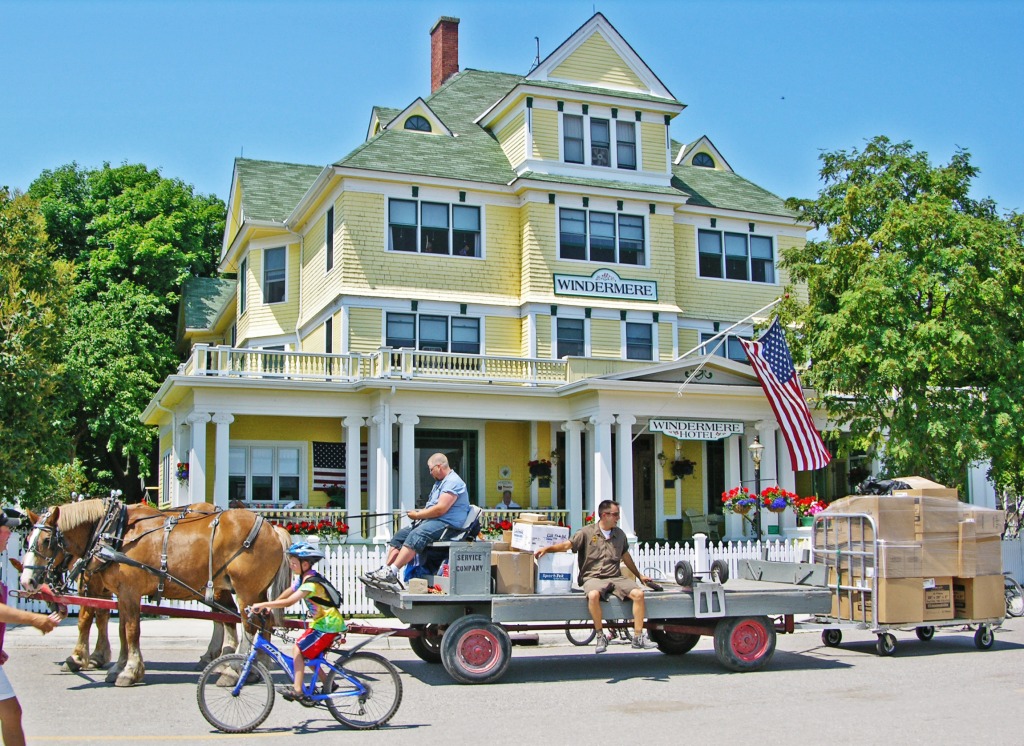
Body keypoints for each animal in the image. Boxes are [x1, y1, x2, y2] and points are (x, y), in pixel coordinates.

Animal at [24, 501, 288, 687]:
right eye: (27, 539)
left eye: (46, 540)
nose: (27, 581)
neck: (115, 534)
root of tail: (272, 528)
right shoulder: (121, 593)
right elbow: (121, 629)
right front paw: (116, 667)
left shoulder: (125, 590)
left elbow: (126, 629)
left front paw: (127, 671)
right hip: (252, 591)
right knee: (262, 623)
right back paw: (255, 667)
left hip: (244, 591)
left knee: (248, 626)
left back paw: (234, 671)